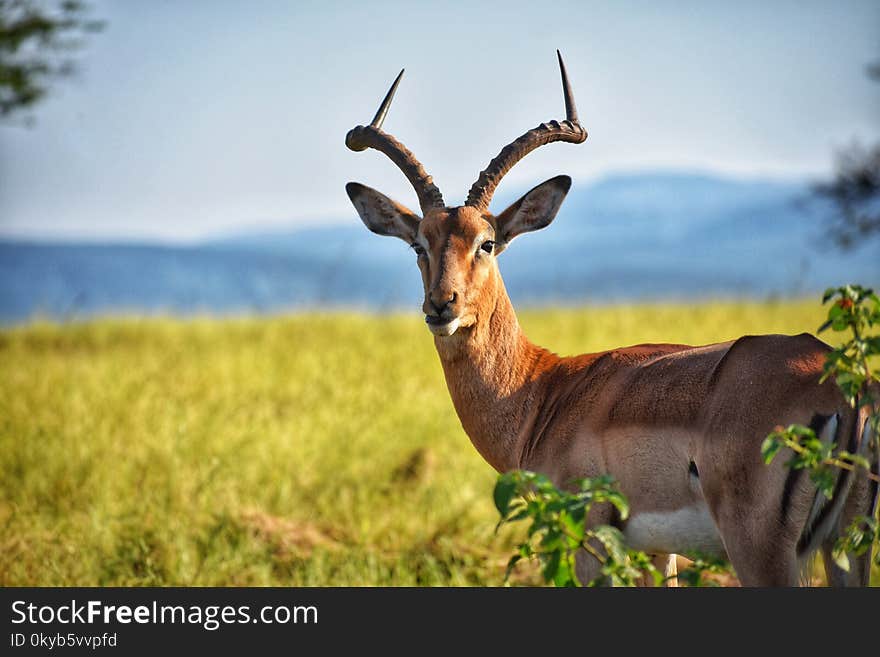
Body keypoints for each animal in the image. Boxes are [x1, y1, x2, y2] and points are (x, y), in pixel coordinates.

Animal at [342, 51, 872, 584]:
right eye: (419, 244)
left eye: (486, 243)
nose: (441, 305)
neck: (544, 391)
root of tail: (843, 388)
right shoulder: (657, 551)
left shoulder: (589, 537)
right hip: (843, 547)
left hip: (762, 549)